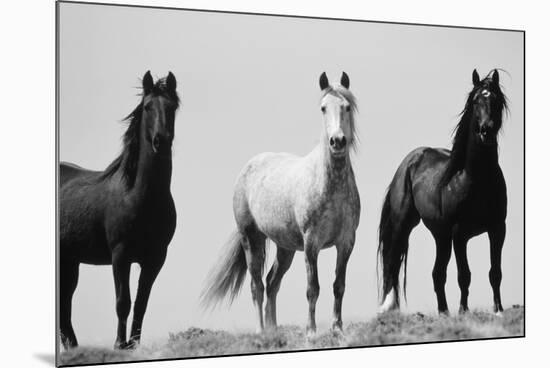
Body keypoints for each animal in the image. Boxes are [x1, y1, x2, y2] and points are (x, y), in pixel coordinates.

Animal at [60, 70, 181, 350]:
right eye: (147, 107)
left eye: (172, 107)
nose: (161, 141)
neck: (139, 196)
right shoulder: (120, 255)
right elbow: (123, 302)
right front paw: (119, 344)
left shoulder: (155, 258)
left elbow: (141, 304)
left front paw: (133, 345)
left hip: (70, 262)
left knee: (65, 306)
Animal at [203, 72, 362, 336]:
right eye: (323, 108)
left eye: (347, 107)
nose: (337, 141)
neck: (330, 185)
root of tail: (248, 167)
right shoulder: (311, 244)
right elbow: (313, 288)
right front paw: (311, 331)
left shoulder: (346, 242)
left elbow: (338, 285)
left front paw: (337, 328)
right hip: (251, 239)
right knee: (257, 285)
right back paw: (262, 331)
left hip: (285, 247)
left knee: (272, 282)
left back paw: (274, 329)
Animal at [382, 69, 512, 316]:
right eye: (475, 101)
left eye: (497, 100)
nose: (486, 131)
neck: (475, 179)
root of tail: (410, 161)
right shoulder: (459, 234)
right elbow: (464, 275)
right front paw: (463, 311)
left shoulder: (497, 229)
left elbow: (495, 272)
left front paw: (498, 309)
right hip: (405, 226)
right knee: (392, 264)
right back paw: (388, 309)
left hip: (440, 236)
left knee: (437, 273)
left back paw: (444, 312)